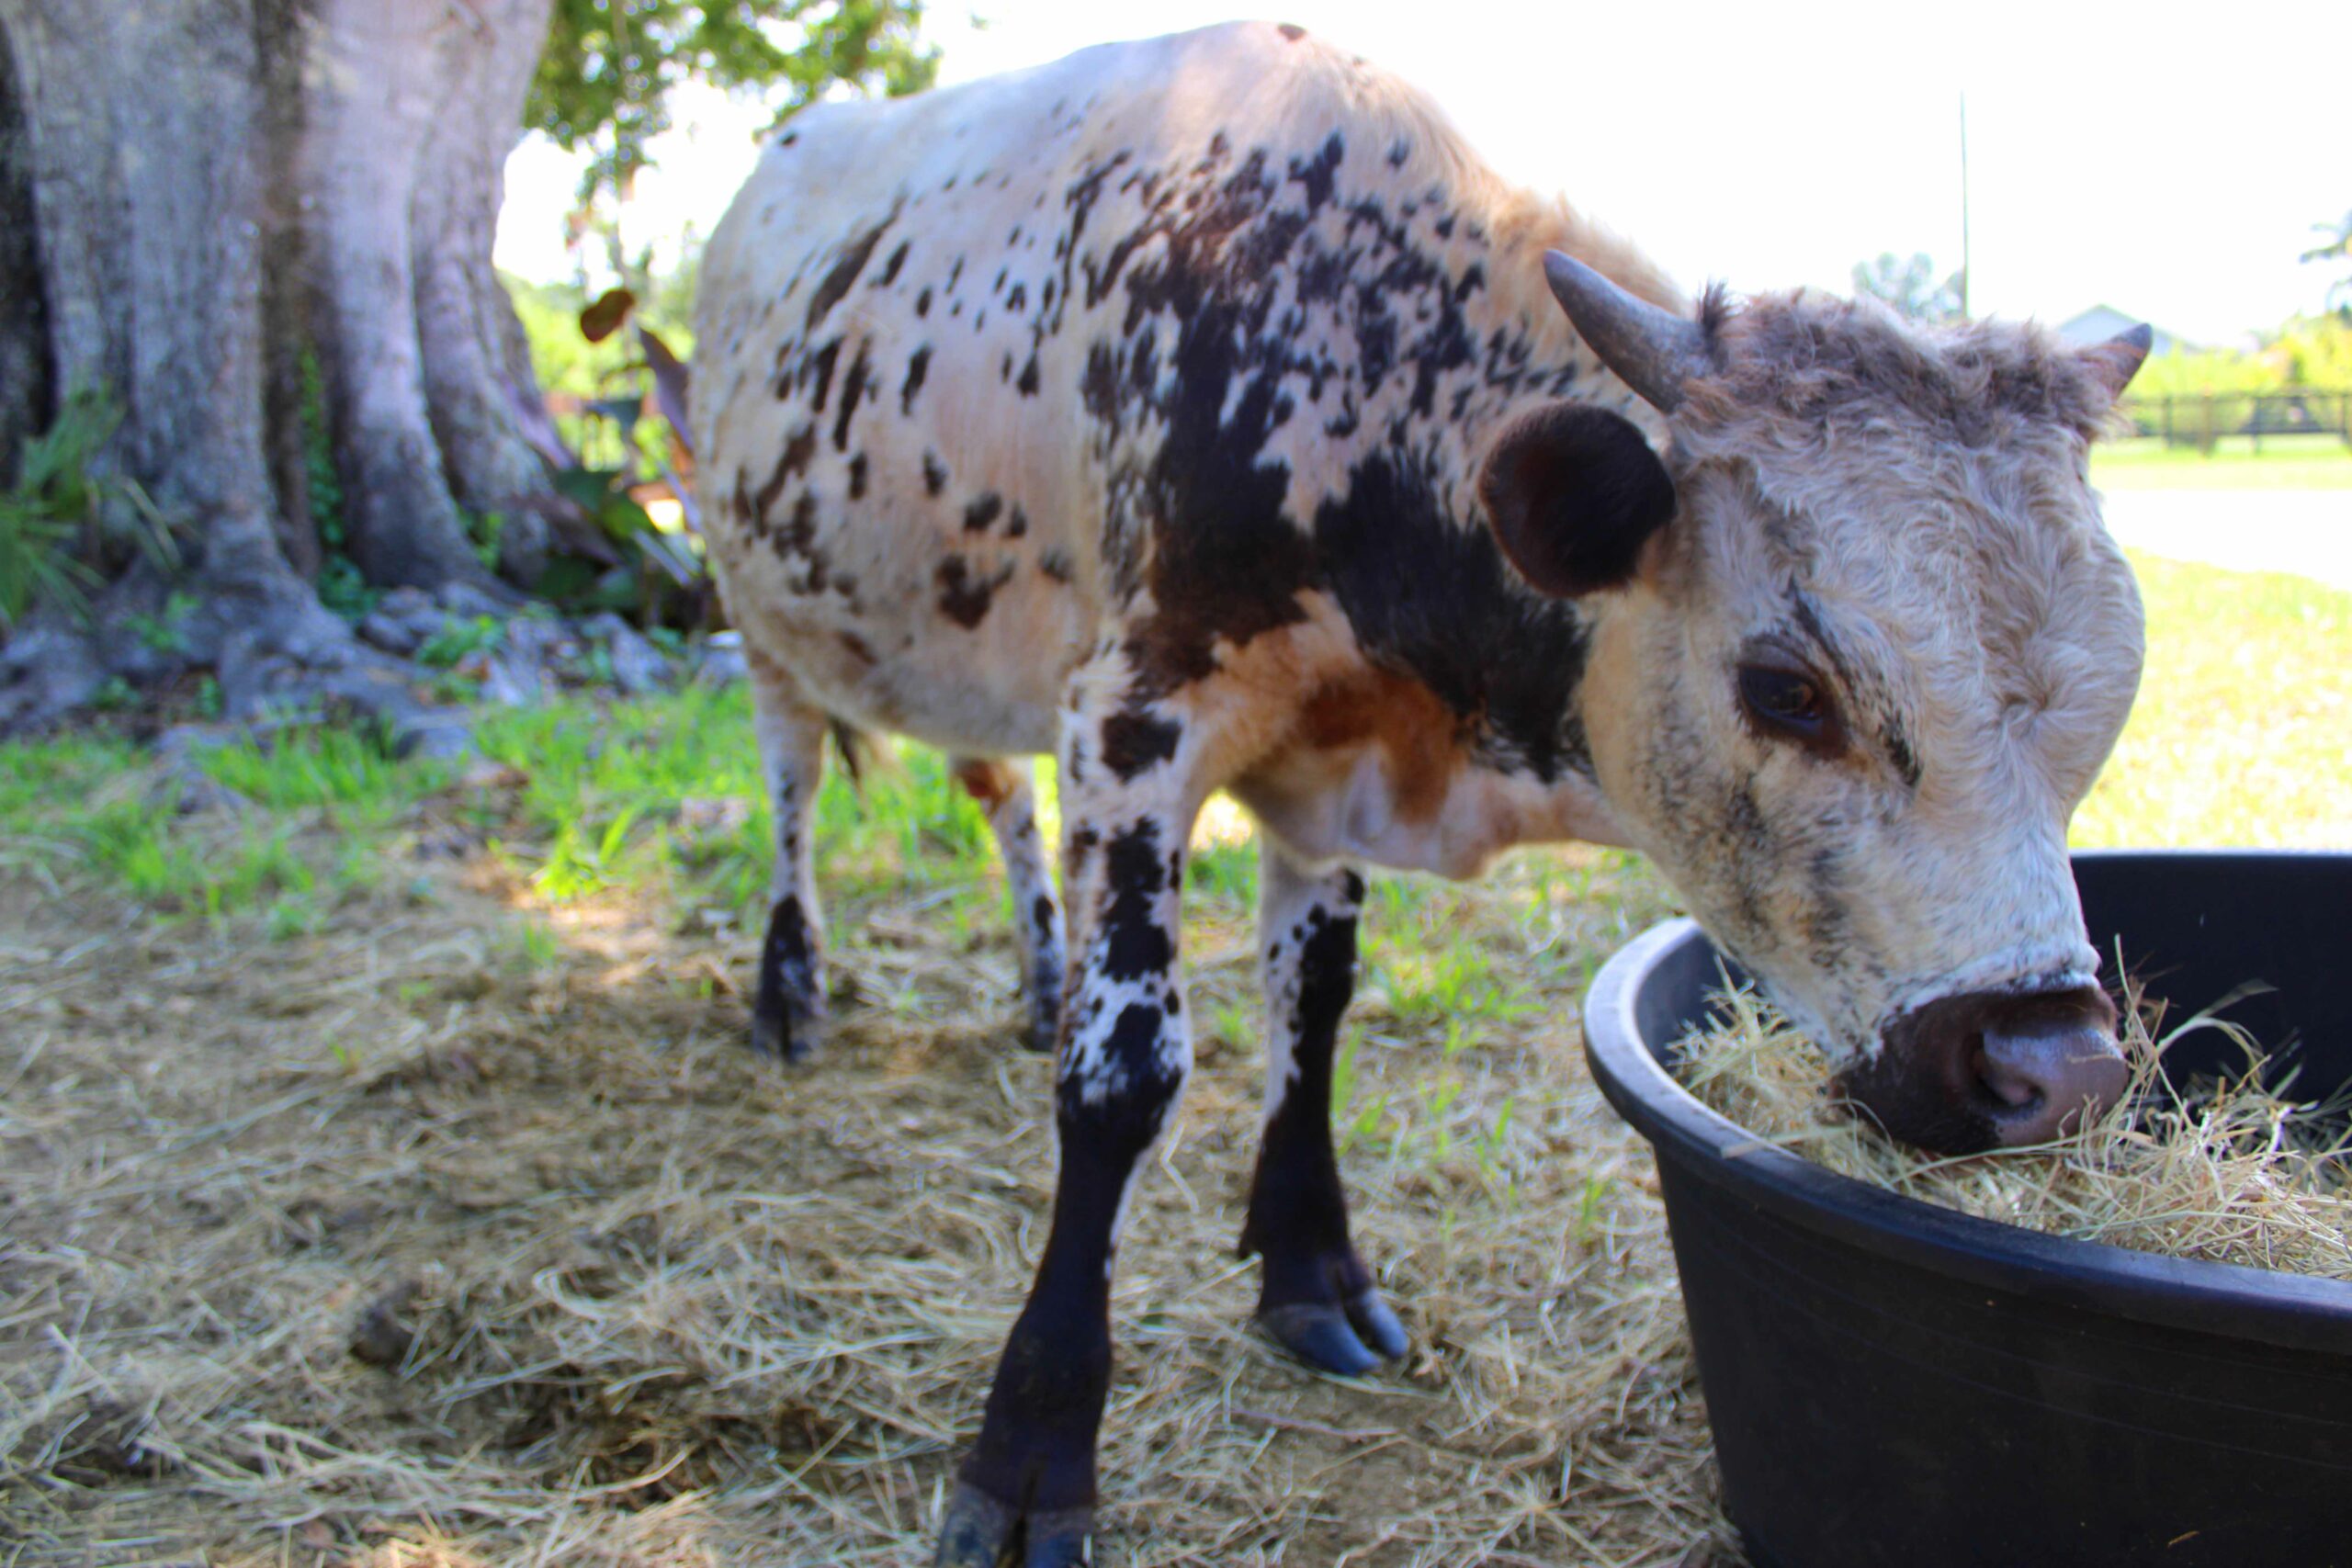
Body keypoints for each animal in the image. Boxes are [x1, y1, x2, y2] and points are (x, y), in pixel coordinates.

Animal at [691, 17, 2154, 1561]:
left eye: (2110, 698)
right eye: (1788, 687)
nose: (2053, 1069)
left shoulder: (1315, 765)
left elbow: (1313, 1007)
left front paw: (1307, 1264)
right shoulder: (1133, 717)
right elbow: (1126, 1073)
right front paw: (1031, 1441)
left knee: (998, 797)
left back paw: (1032, 978)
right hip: (761, 607)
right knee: (793, 783)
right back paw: (789, 984)